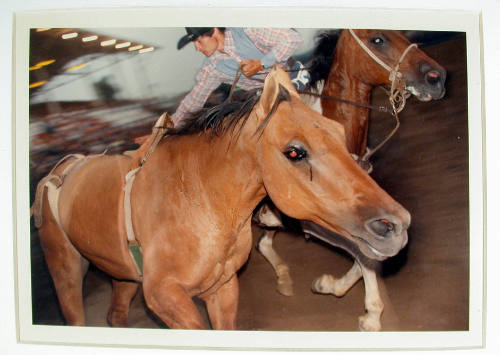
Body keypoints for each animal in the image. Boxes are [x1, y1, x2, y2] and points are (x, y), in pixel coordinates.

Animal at [33, 69, 412, 330]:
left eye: (338, 132)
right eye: (294, 151)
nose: (396, 225)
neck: (197, 198)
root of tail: (64, 166)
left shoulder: (224, 287)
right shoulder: (164, 296)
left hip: (122, 274)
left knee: (116, 314)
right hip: (65, 269)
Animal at [254, 29, 446, 332]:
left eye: (404, 33)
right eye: (378, 39)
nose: (437, 77)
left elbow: (371, 253)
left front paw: (332, 286)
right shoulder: (316, 221)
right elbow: (365, 255)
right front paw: (370, 314)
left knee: (264, 242)